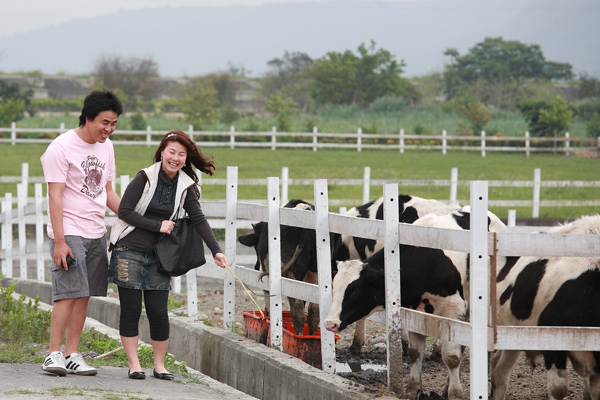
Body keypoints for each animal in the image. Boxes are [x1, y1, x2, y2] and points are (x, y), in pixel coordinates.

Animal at [239, 200, 322, 338]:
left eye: (255, 246)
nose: (256, 266)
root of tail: (306, 208)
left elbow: (268, 308)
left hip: (292, 274)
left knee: (298, 311)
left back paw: (299, 336)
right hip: (315, 273)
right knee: (314, 310)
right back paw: (311, 336)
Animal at [326, 208, 508, 398]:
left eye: (353, 291)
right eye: (334, 287)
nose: (329, 323)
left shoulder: (454, 309)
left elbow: (451, 356)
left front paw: (455, 393)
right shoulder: (415, 312)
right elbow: (415, 353)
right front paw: (413, 390)